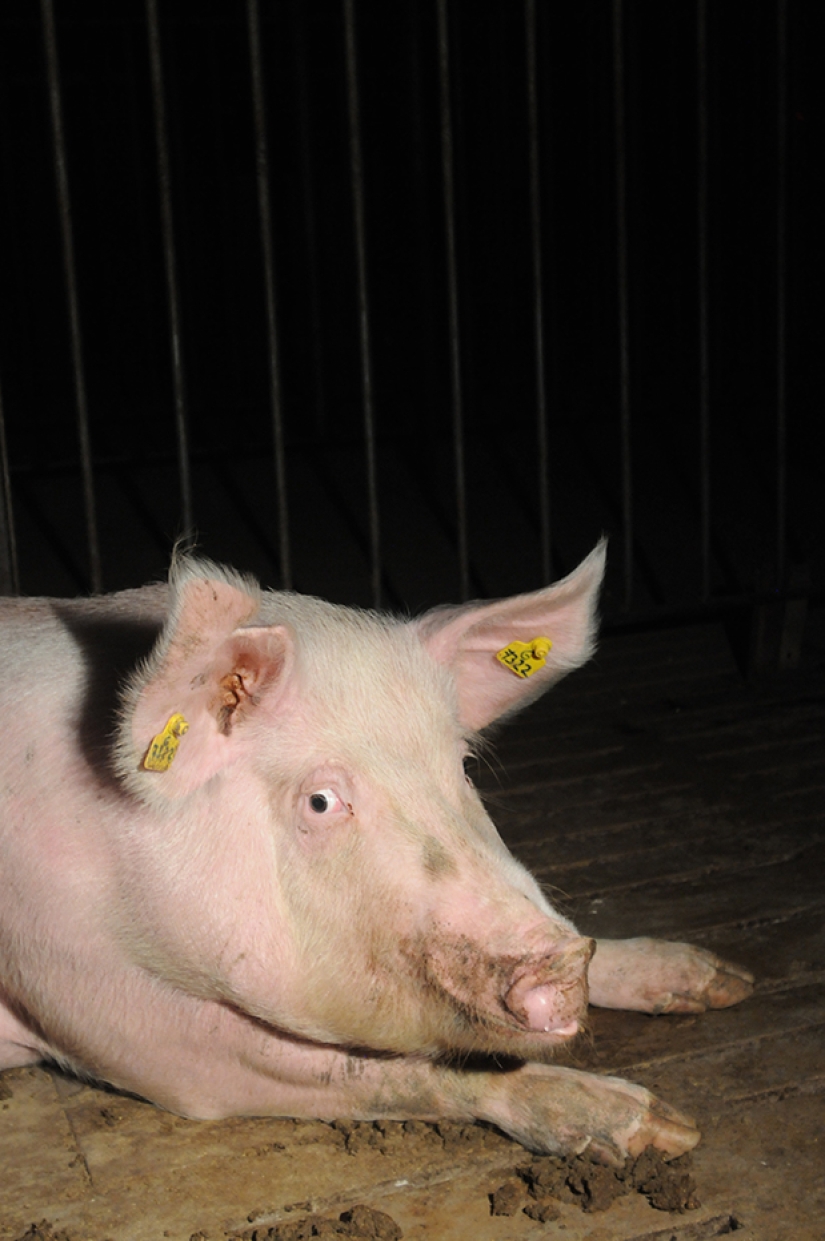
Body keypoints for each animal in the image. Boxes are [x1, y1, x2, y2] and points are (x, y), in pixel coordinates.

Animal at [0, 541, 752, 1164]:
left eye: (465, 765)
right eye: (320, 801)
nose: (560, 962)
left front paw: (723, 981)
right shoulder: (81, 985)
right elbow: (371, 1069)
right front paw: (663, 1129)